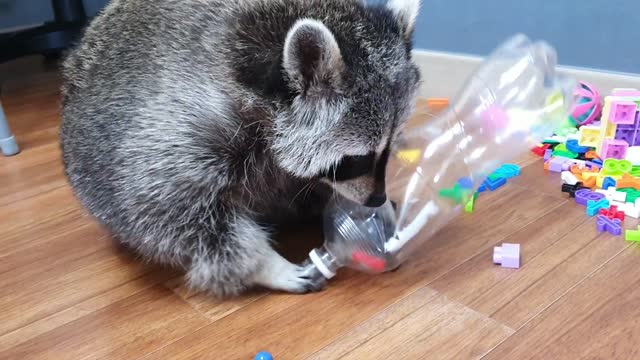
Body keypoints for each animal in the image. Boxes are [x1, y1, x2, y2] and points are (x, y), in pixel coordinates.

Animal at [58, 0, 420, 298]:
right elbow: (164, 207)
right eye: (358, 159)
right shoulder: (185, 123)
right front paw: (265, 264)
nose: (375, 198)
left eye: (389, 149)